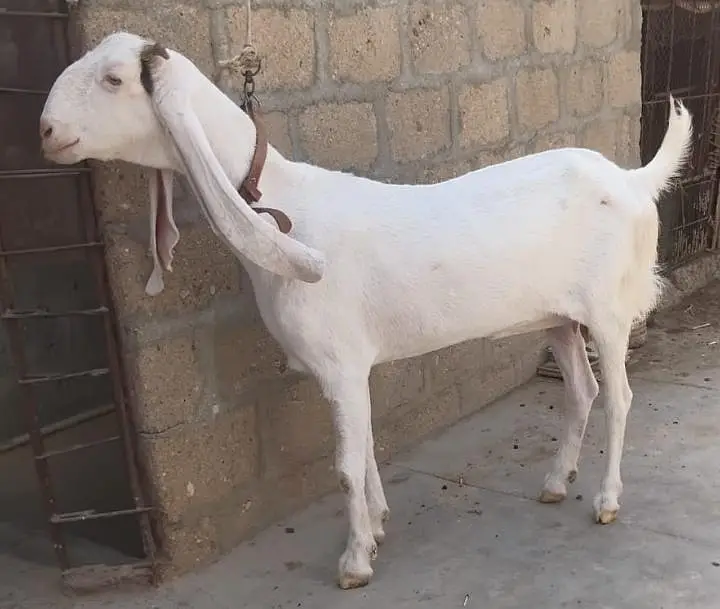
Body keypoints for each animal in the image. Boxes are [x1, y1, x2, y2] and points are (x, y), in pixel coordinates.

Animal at [40, 32, 692, 589]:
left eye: (115, 79)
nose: (47, 131)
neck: (279, 209)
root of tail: (634, 179)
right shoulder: (353, 370)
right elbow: (369, 444)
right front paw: (377, 525)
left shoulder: (340, 364)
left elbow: (347, 464)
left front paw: (354, 561)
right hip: (557, 317)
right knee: (581, 389)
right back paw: (556, 482)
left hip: (608, 310)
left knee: (619, 397)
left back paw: (606, 500)